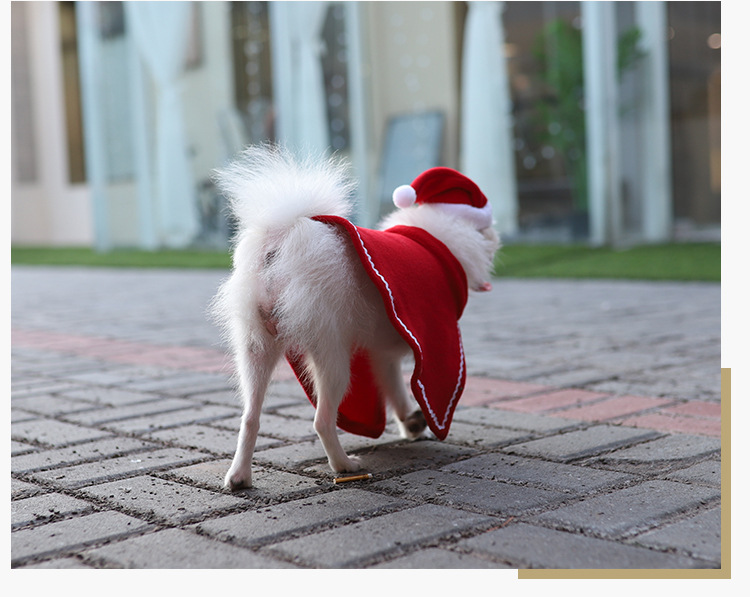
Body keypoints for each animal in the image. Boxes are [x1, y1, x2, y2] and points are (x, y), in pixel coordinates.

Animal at [212, 146, 500, 488]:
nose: (497, 237)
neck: (433, 239)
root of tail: (280, 242)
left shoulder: (382, 355)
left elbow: (395, 389)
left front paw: (411, 422)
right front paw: (416, 423)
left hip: (257, 349)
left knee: (250, 416)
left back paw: (239, 476)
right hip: (331, 356)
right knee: (322, 420)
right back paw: (344, 465)